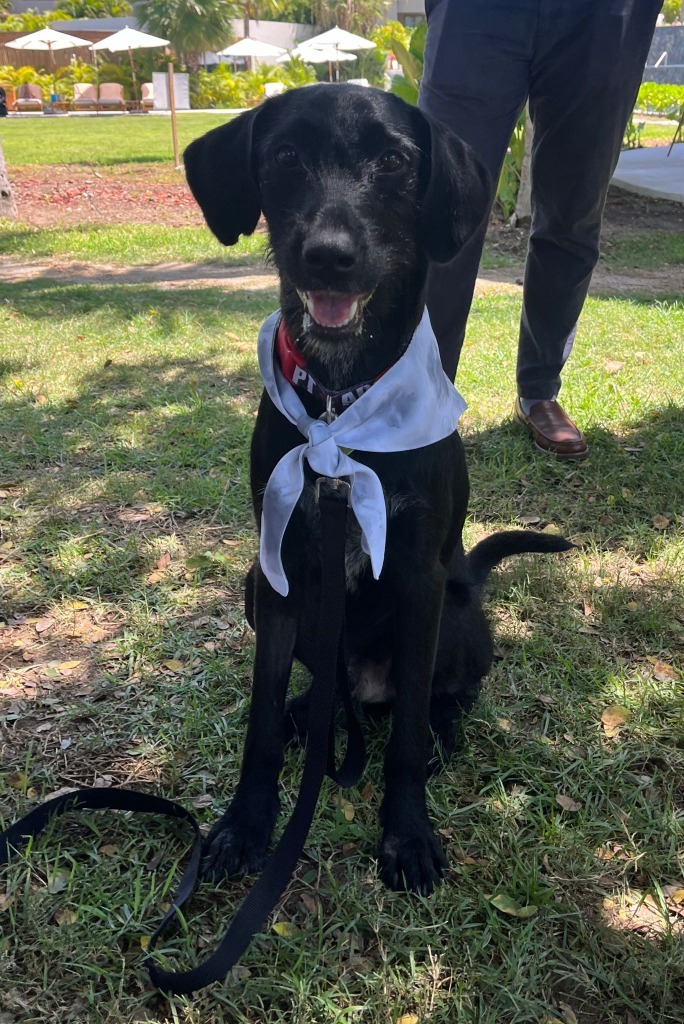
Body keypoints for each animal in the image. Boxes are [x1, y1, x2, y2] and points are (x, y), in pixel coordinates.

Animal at [183, 83, 573, 892]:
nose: (328, 257)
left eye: (393, 161)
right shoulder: (277, 574)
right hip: (258, 591)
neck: (341, 402)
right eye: (284, 156)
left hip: (454, 614)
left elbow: (405, 742)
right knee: (324, 698)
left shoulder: (420, 578)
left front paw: (407, 833)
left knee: (440, 700)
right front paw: (246, 823)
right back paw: (312, 713)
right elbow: (260, 721)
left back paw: (443, 732)